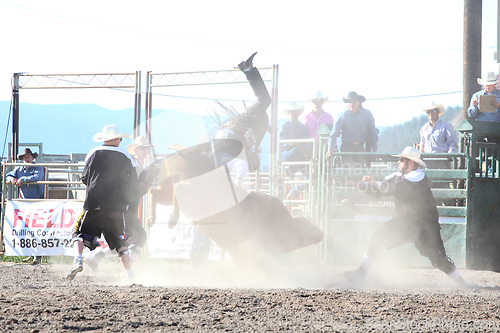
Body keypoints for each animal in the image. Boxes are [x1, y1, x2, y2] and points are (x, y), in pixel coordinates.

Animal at [146, 139, 322, 260]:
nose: (320, 233)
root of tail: (185, 152)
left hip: (168, 189)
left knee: (154, 191)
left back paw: (151, 218)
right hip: (189, 188)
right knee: (178, 189)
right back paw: (171, 219)